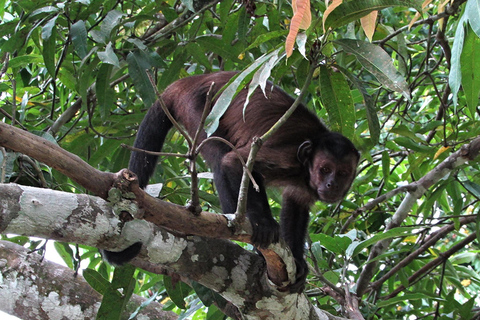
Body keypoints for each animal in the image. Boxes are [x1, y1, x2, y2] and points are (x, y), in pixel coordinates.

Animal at [105, 71, 360, 292]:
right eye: (324, 169)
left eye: (342, 173)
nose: (331, 184)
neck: (305, 167)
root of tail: (188, 81)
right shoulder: (288, 157)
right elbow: (234, 162)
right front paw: (262, 222)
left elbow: (295, 203)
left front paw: (297, 261)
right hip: (198, 106)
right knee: (219, 155)